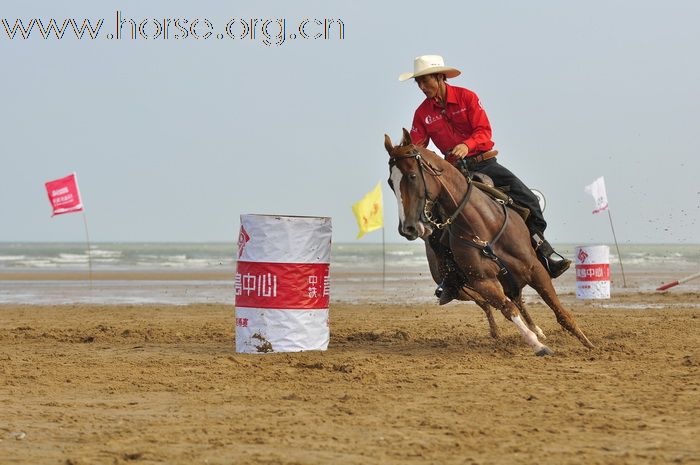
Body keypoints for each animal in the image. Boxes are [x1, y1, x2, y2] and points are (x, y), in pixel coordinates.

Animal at [386, 129, 592, 354]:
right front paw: (537, 345)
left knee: (517, 299)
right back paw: (503, 332)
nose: (408, 228)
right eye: (390, 183)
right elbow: (507, 309)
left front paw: (587, 343)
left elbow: (559, 311)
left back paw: (537, 329)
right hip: (465, 290)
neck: (481, 226)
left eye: (412, 176)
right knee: (493, 304)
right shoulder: (483, 282)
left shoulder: (535, 269)